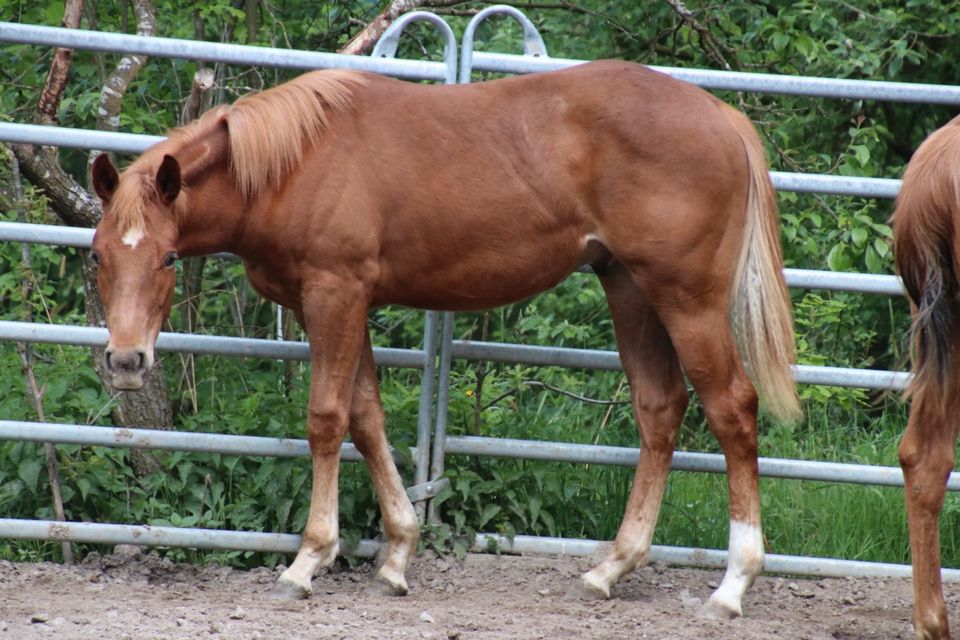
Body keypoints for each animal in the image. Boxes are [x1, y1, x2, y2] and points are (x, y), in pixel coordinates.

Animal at [88, 61, 796, 620]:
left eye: (168, 257)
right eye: (97, 254)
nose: (126, 360)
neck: (297, 163)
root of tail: (720, 115)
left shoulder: (334, 295)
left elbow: (326, 419)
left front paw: (308, 561)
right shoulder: (346, 305)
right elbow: (367, 418)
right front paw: (398, 555)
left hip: (687, 301)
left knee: (733, 409)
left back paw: (732, 586)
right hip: (629, 289)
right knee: (660, 409)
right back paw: (610, 568)